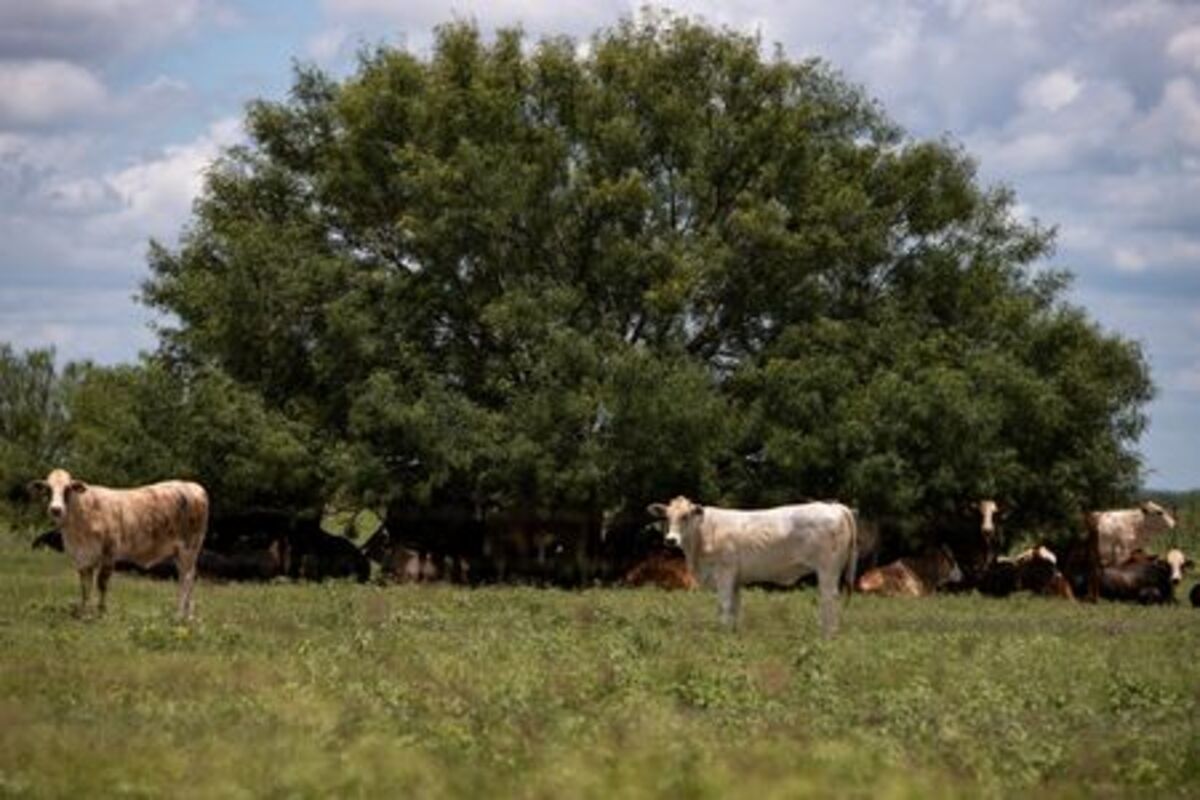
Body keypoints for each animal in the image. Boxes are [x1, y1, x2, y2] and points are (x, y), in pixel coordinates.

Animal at [29, 469, 208, 620]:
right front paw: (85, 612)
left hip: (189, 548)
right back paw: (187, 615)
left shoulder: (109, 553)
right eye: (48, 489)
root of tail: (193, 486)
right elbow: (85, 586)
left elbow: (101, 583)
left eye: (67, 489)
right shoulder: (83, 558)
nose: (56, 509)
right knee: (187, 578)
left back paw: (180, 615)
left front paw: (101, 613)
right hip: (180, 552)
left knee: (186, 578)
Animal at [647, 497, 858, 637]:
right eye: (666, 517)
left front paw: (721, 635)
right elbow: (734, 607)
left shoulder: (724, 572)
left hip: (827, 569)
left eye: (685, 516)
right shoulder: (735, 578)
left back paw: (827, 635)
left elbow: (723, 605)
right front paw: (732, 634)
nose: (671, 540)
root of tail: (834, 506)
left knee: (829, 599)